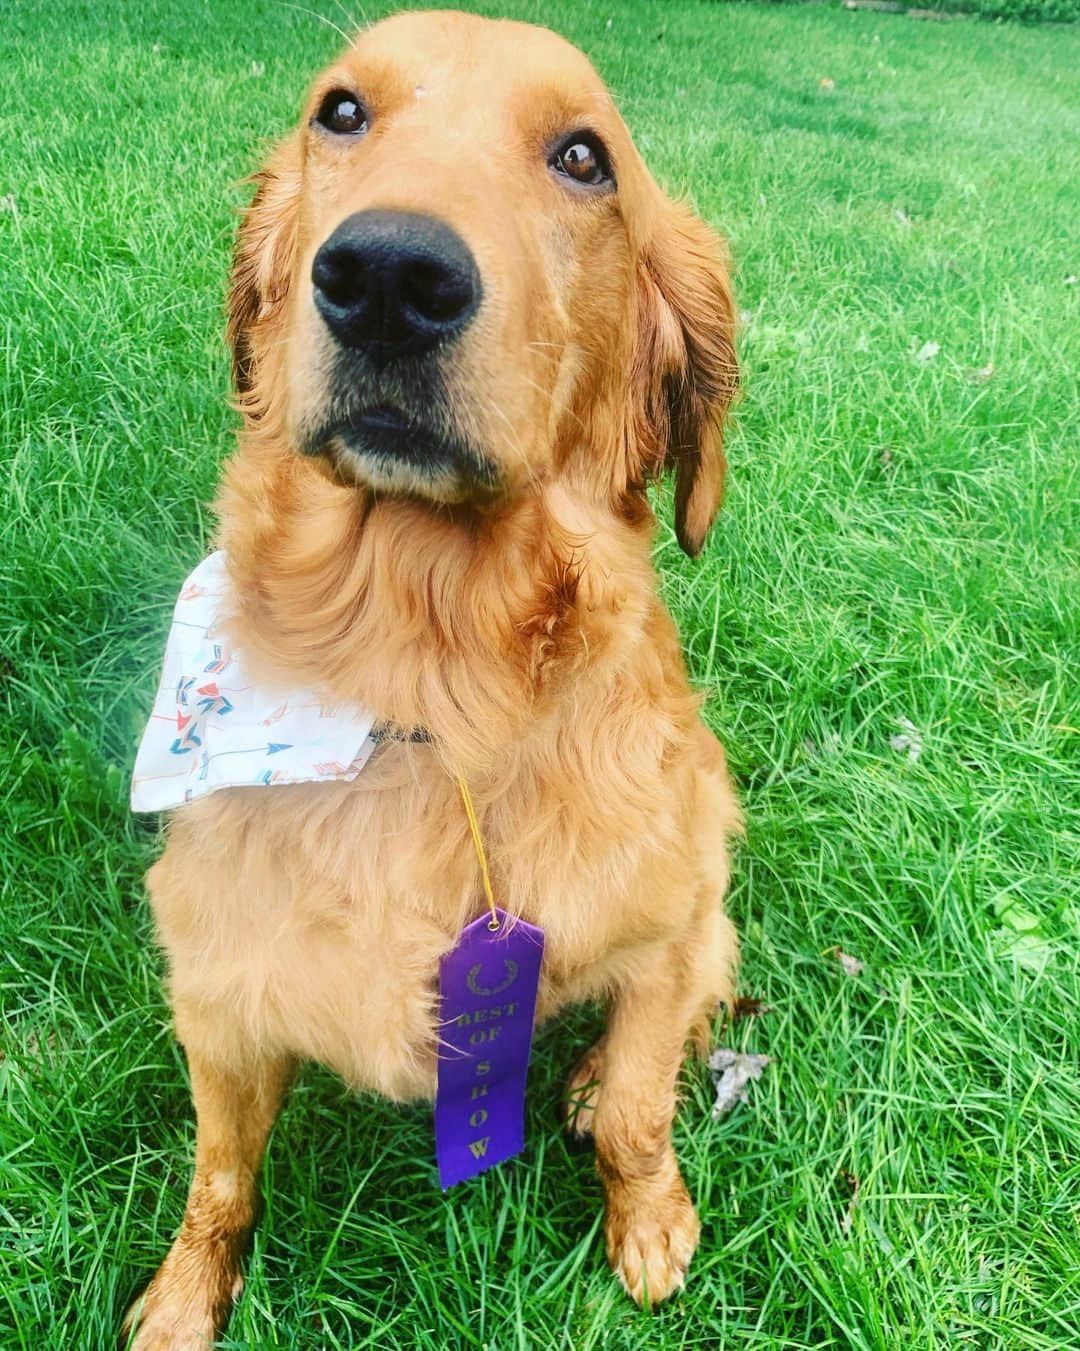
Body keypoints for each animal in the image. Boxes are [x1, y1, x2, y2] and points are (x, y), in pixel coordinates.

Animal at [120, 13, 746, 1351]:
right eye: (342, 112)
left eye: (583, 156)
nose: (390, 277)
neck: (424, 690)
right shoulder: (215, 983)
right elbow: (220, 1172)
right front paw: (187, 1297)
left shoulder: (671, 919)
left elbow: (639, 1109)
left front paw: (649, 1221)